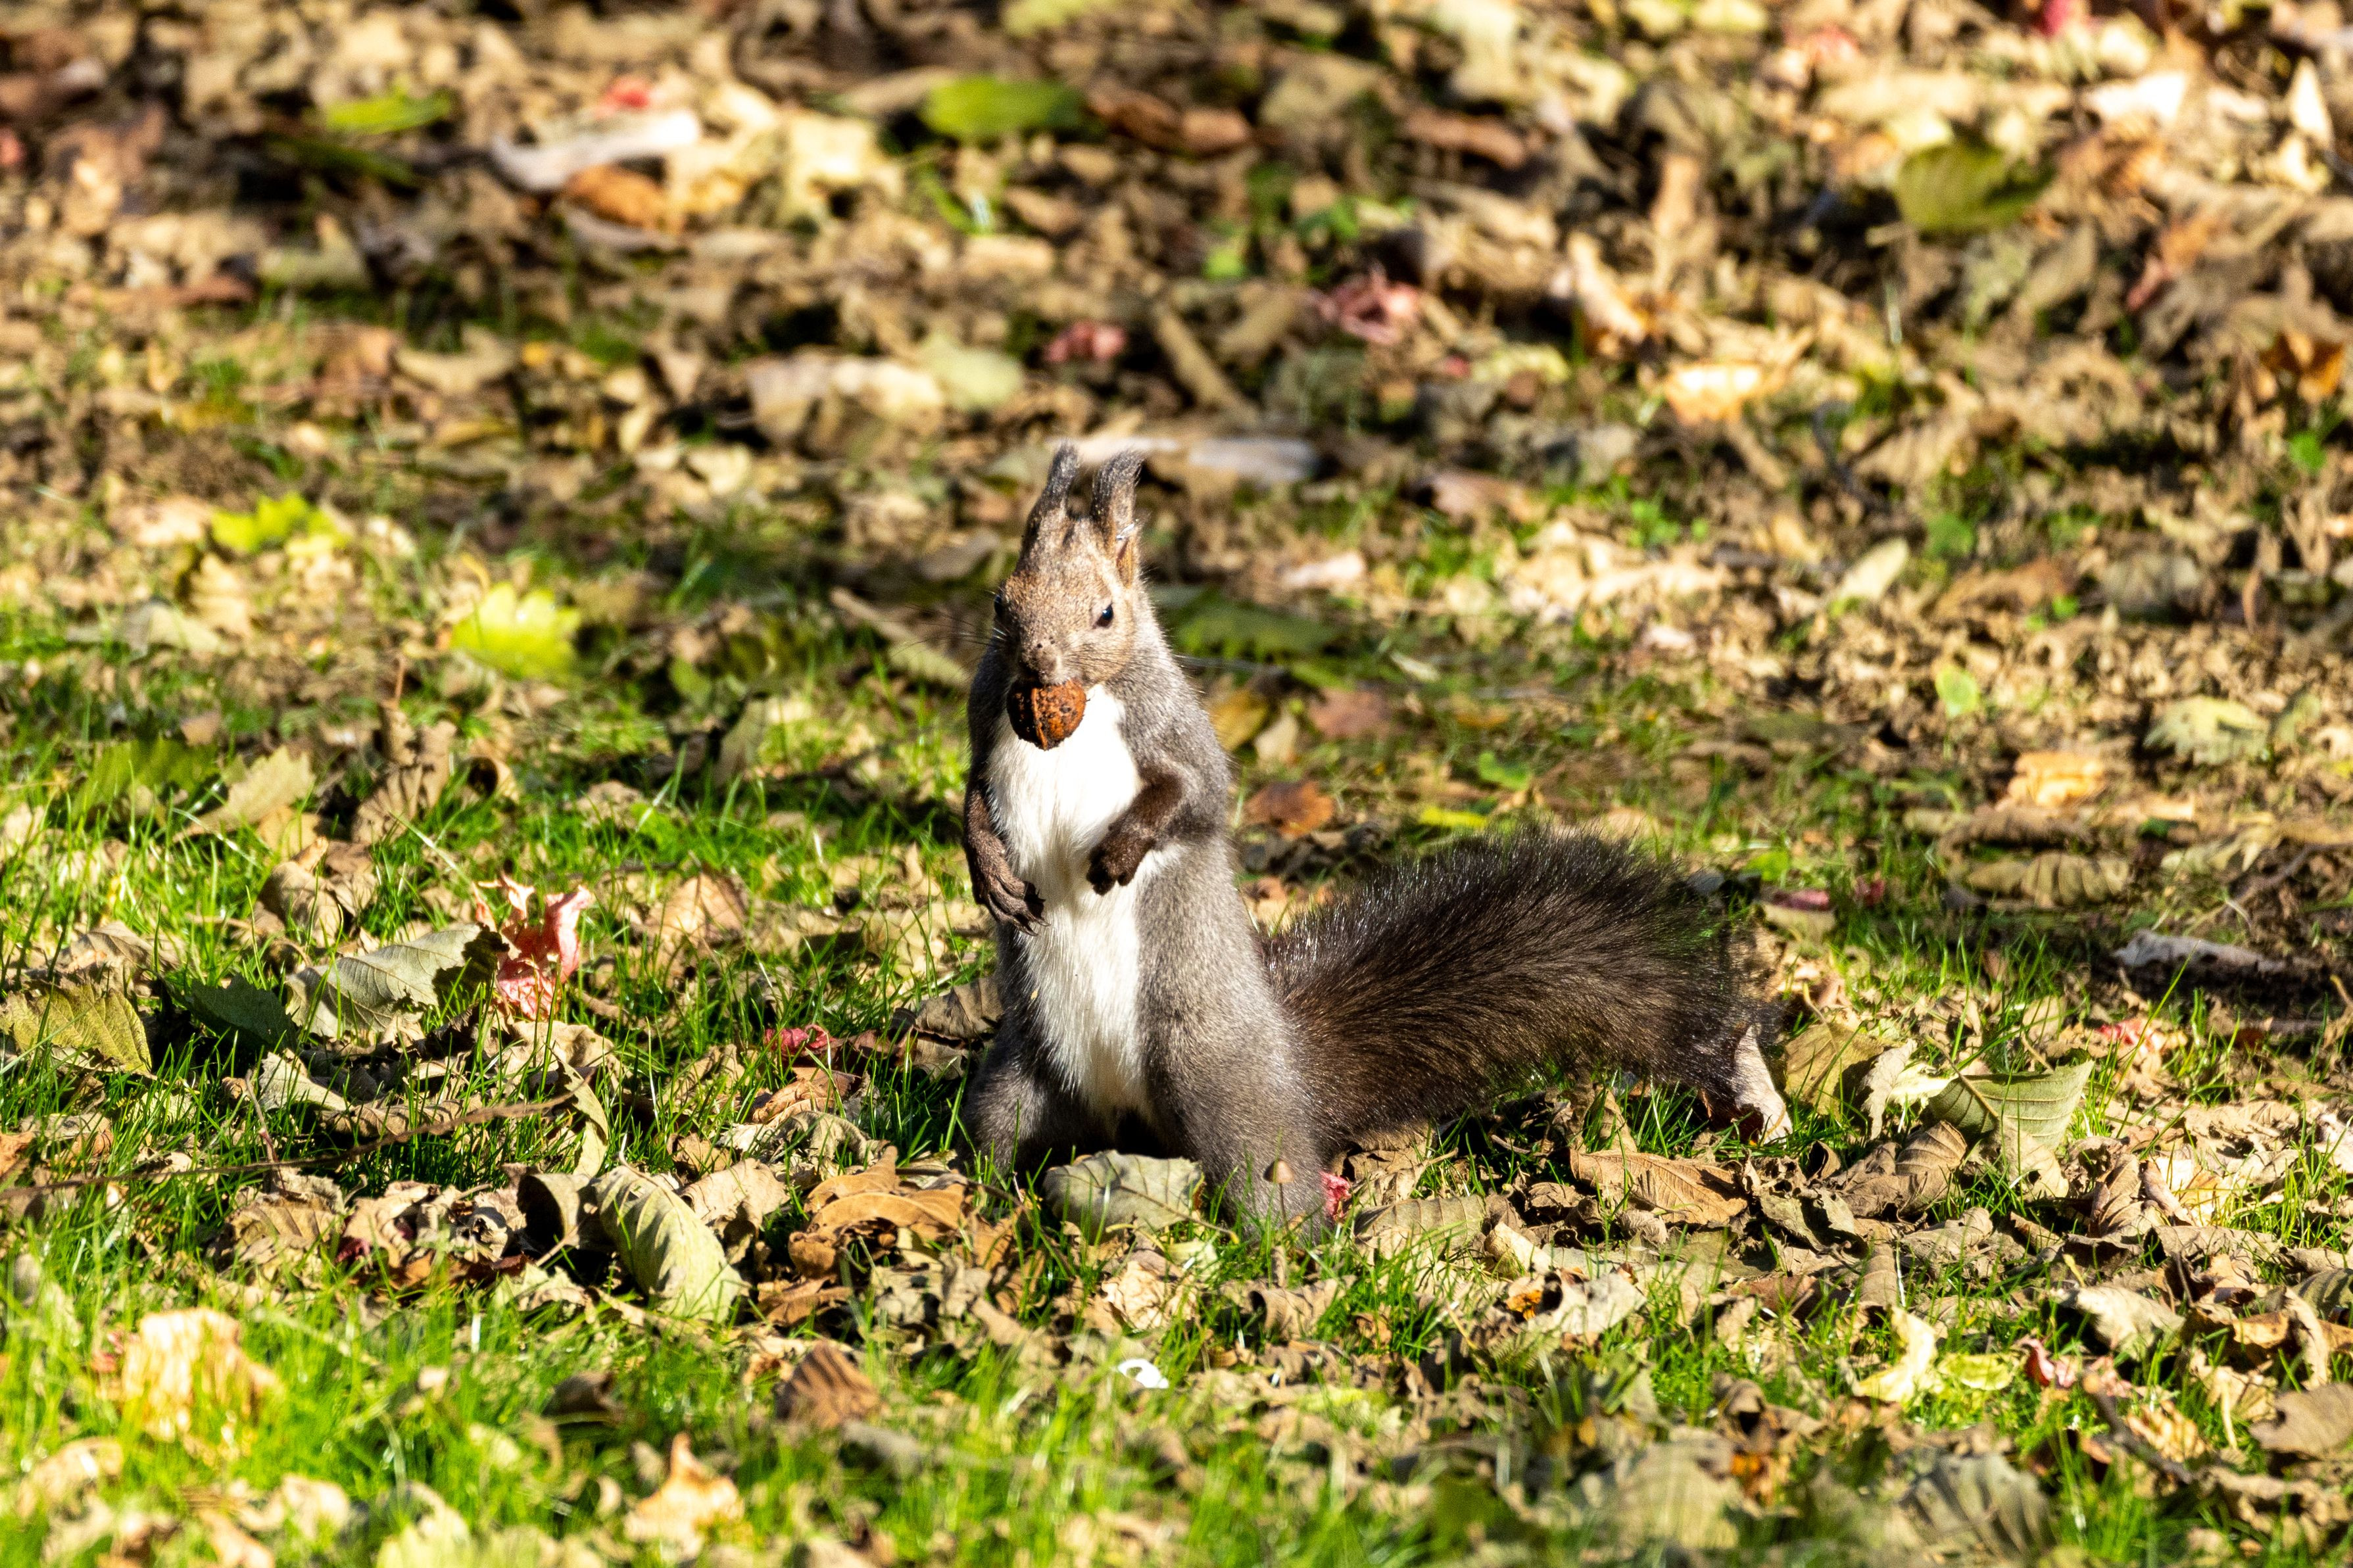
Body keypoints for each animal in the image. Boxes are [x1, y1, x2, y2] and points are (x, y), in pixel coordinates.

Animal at [961, 444, 1790, 1231]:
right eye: (1003, 601)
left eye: (1105, 614)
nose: (1037, 660)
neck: (1074, 710)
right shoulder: (984, 720)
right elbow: (971, 798)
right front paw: (988, 870)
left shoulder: (1173, 729)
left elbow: (1196, 796)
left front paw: (1120, 849)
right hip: (1019, 1078)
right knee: (995, 1135)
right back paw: (973, 1196)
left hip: (1216, 1088)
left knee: (1268, 1180)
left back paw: (1285, 1247)